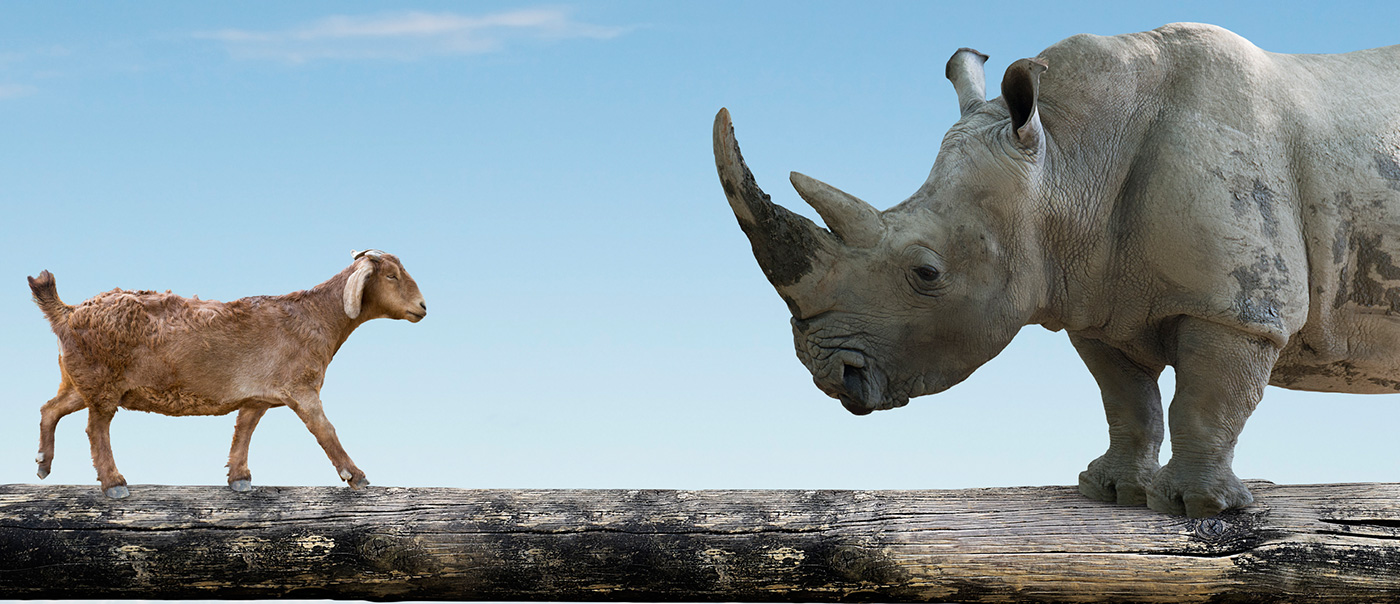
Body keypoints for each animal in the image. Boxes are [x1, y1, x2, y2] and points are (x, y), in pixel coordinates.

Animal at [27, 248, 420, 498]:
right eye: (391, 275)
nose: (422, 306)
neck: (317, 315)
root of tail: (68, 312)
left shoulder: (260, 394)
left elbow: (244, 429)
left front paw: (239, 478)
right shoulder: (301, 387)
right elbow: (325, 429)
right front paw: (357, 477)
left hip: (79, 380)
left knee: (51, 407)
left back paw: (44, 464)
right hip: (103, 381)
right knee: (96, 428)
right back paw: (114, 484)